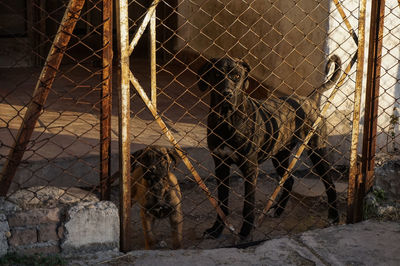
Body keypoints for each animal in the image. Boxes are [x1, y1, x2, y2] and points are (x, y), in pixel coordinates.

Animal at [197, 55, 340, 239]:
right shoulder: (220, 165)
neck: (227, 119)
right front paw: (216, 230)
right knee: (289, 180)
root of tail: (308, 99)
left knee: (330, 184)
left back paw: (334, 217)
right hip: (280, 155)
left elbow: (248, 206)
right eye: (216, 75)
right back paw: (277, 210)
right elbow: (222, 202)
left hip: (317, 151)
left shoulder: (250, 168)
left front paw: (245, 233)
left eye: (237, 76)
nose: (227, 94)